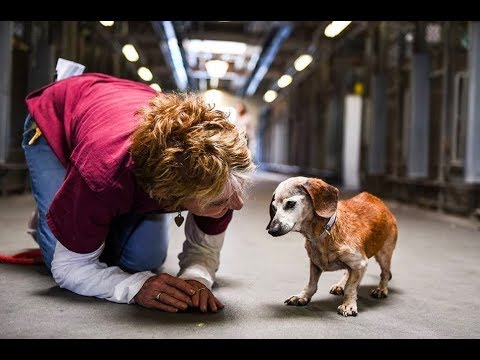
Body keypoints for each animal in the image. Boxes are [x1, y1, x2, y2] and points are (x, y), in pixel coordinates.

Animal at [266, 176, 398, 316]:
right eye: (274, 208)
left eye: (290, 204)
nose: (272, 230)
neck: (323, 234)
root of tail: (378, 201)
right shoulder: (315, 264)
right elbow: (311, 284)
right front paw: (302, 297)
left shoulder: (360, 263)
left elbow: (350, 288)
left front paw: (348, 305)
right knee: (347, 272)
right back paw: (340, 285)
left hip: (384, 255)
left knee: (385, 273)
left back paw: (381, 289)